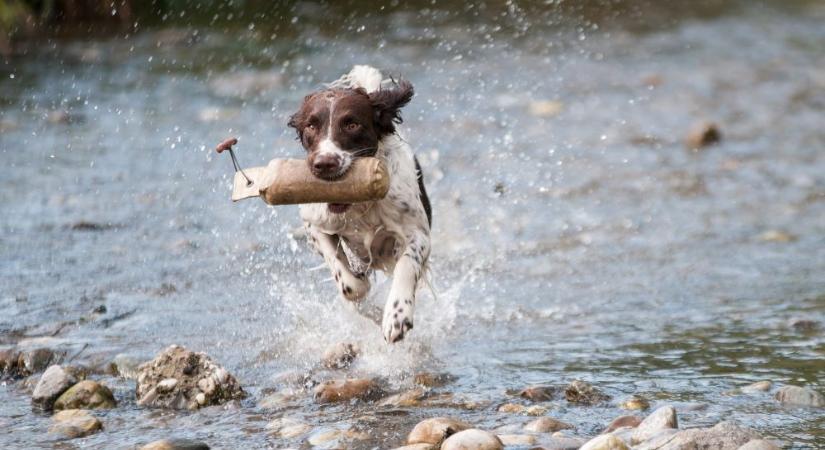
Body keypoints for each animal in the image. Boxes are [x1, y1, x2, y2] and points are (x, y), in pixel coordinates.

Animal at [286, 65, 432, 342]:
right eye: (311, 125)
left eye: (352, 124)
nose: (324, 164)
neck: (359, 205)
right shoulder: (314, 224)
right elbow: (347, 281)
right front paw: (362, 291)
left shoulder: (418, 233)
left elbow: (407, 264)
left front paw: (397, 316)